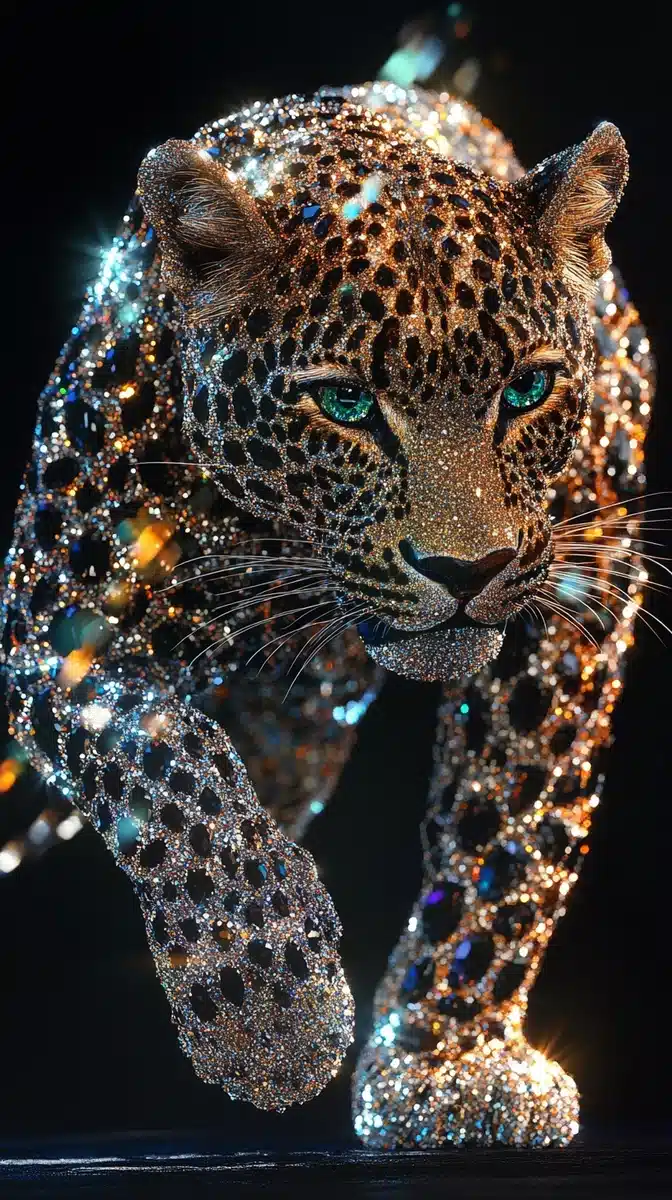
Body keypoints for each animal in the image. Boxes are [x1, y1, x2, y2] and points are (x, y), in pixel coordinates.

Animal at [0, 82, 653, 1146]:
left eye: (527, 388)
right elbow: (170, 772)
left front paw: (447, 1065)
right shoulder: (55, 625)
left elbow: (512, 828)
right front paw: (272, 1012)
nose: (466, 568)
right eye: (346, 405)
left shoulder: (579, 599)